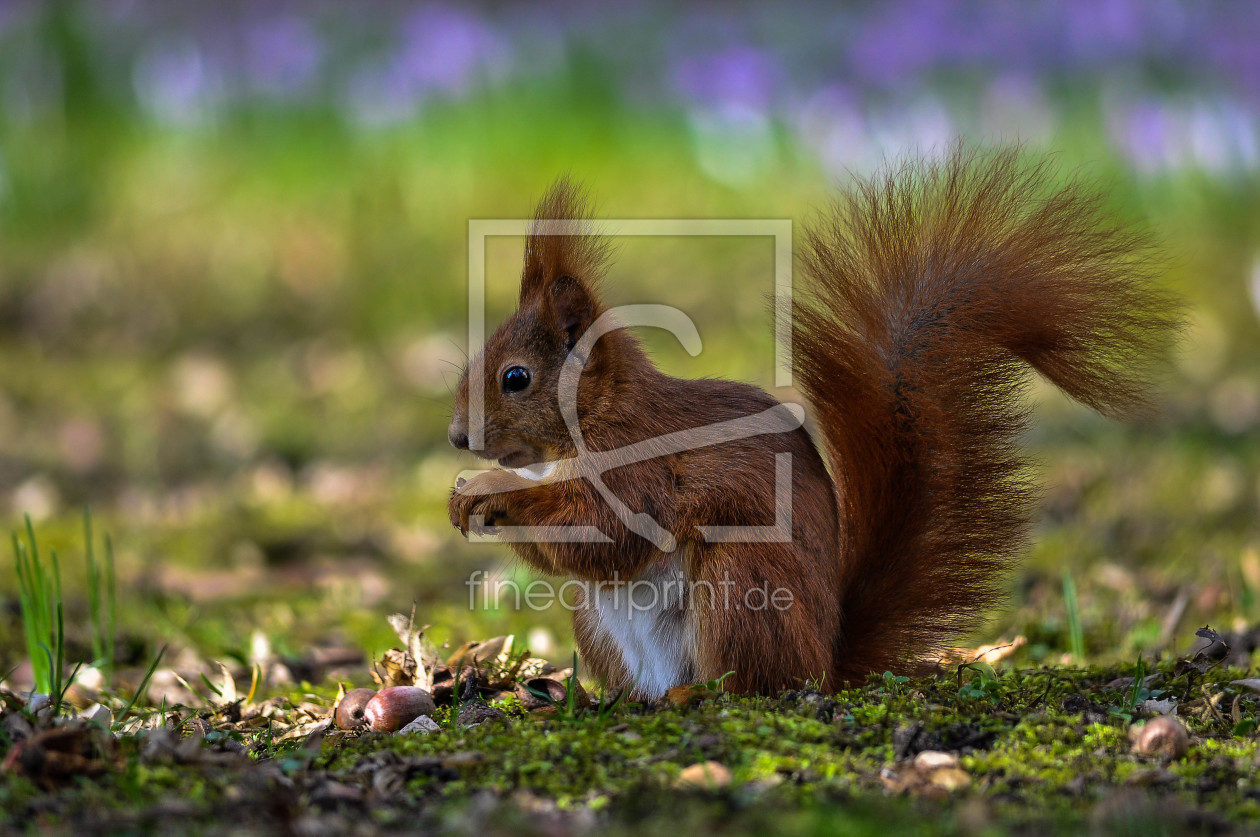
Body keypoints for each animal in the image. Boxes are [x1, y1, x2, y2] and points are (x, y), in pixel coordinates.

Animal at [446, 146, 1179, 695]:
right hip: (600, 621)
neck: (585, 429)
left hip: (742, 584)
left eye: (515, 378)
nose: (458, 438)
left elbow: (605, 533)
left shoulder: (643, 466)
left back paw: (700, 695)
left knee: (754, 684)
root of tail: (827, 660)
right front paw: (465, 497)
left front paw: (488, 491)